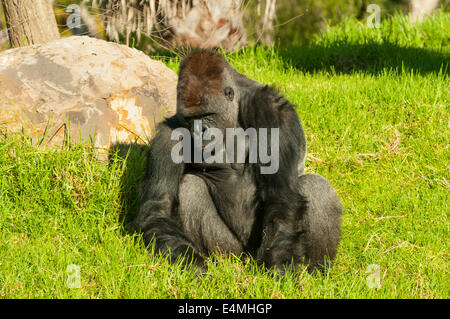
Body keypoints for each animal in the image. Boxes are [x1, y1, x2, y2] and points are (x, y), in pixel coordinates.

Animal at [135, 50, 342, 276]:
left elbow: (281, 195)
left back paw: (316, 271)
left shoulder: (270, 109)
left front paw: (279, 263)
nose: (199, 132)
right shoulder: (168, 134)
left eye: (207, 115)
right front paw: (189, 261)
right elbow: (159, 208)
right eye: (191, 119)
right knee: (191, 187)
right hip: (232, 249)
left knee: (315, 186)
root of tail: (246, 257)